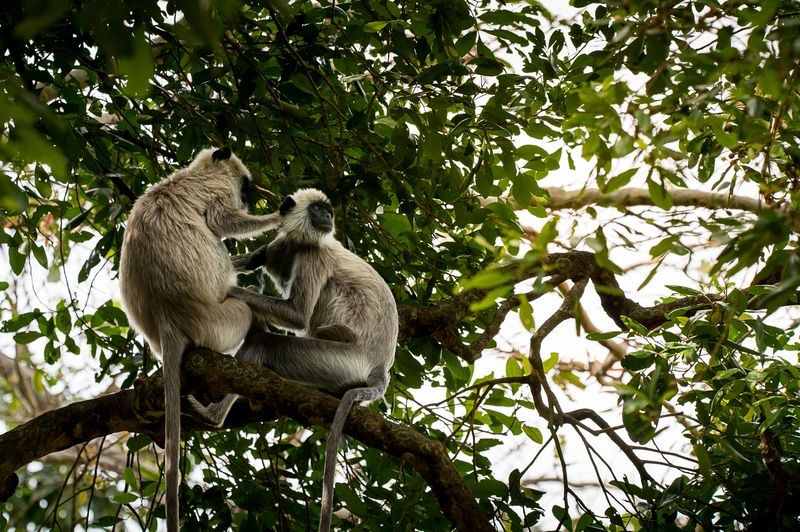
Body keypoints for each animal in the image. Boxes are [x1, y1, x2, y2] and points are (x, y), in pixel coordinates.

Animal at [118, 147, 281, 532]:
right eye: (244, 187)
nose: (247, 197)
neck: (189, 175)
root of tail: (168, 321)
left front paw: (252, 257)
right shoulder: (216, 190)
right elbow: (224, 223)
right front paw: (281, 216)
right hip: (221, 322)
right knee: (248, 312)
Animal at [201, 188, 398, 532]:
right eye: (319, 209)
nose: (329, 216)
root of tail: (380, 368)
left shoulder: (312, 255)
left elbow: (297, 314)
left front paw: (230, 290)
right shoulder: (282, 248)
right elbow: (264, 257)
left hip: (337, 360)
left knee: (269, 345)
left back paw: (213, 414)